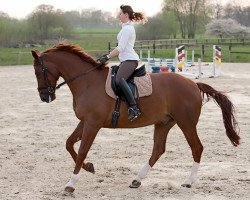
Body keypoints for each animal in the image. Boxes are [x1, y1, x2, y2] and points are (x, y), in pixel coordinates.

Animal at [31, 43, 240, 194]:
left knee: (196, 147)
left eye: (38, 71)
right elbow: (69, 144)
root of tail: (194, 84)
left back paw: (188, 182)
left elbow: (82, 150)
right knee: (158, 149)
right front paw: (89, 167)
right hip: (164, 123)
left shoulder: (92, 124)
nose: (44, 97)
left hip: (186, 123)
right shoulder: (85, 121)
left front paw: (71, 183)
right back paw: (137, 180)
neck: (87, 81)